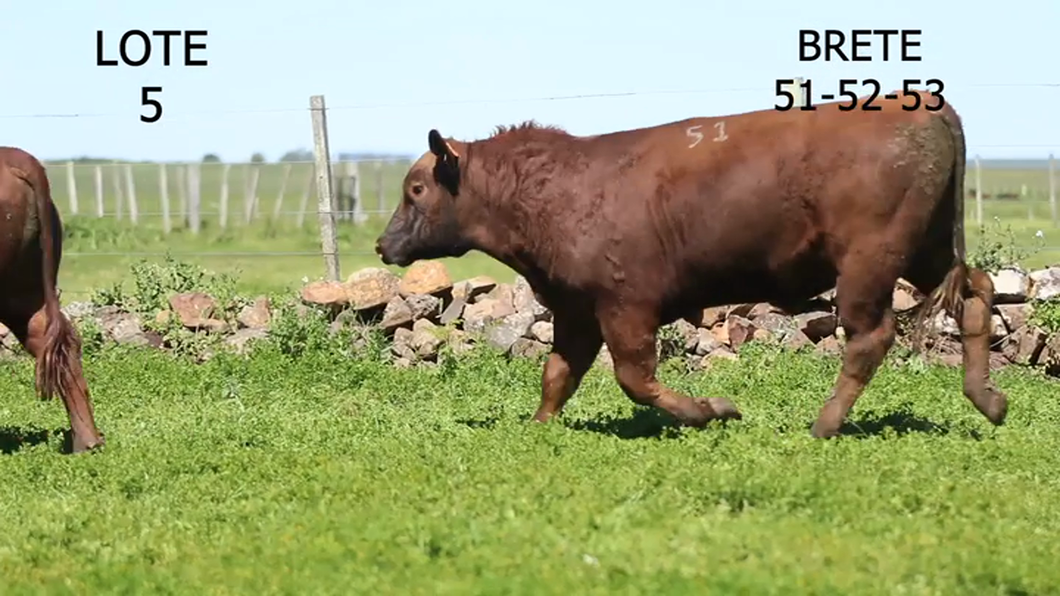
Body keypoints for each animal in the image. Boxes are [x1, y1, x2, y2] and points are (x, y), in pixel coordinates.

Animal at [377, 93, 1004, 436]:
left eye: (415, 189)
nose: (384, 246)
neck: (554, 189)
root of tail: (915, 102)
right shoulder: (576, 311)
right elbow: (557, 374)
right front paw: (539, 427)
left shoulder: (625, 306)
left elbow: (635, 379)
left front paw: (712, 409)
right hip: (926, 253)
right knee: (976, 291)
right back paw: (988, 399)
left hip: (867, 265)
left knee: (869, 337)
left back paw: (824, 424)